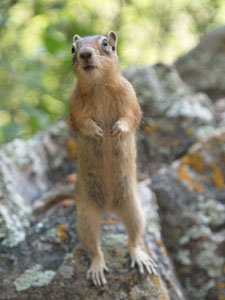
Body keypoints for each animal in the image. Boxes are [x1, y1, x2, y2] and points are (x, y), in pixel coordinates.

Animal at [68, 30, 156, 286]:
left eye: (105, 43)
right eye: (73, 48)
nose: (85, 54)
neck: (99, 87)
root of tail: (108, 208)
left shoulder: (131, 97)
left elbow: (133, 117)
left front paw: (118, 129)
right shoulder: (74, 106)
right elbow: (80, 123)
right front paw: (95, 132)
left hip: (134, 209)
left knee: (134, 238)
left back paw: (140, 258)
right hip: (85, 217)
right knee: (94, 247)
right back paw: (97, 268)